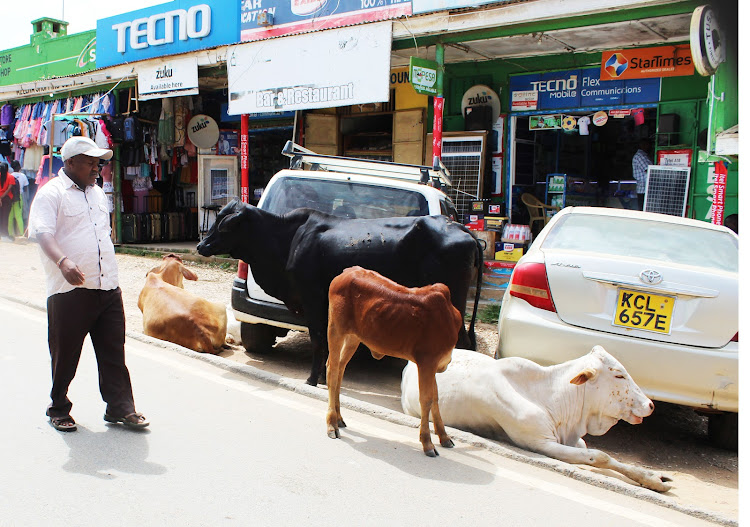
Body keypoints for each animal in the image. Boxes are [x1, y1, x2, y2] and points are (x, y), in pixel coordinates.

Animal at [197, 200, 484, 386]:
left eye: (224, 225)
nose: (200, 245)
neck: (287, 239)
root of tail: (458, 227)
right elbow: (326, 340)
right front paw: (325, 376)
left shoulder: (313, 299)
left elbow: (317, 339)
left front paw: (313, 379)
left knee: (461, 345)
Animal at [328, 268, 464, 458]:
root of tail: (347, 271)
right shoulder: (427, 362)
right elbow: (426, 400)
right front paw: (427, 443)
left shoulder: (434, 365)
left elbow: (436, 398)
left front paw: (444, 437)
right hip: (336, 329)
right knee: (332, 371)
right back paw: (331, 424)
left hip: (353, 337)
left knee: (340, 369)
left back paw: (339, 419)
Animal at [402, 344, 672, 492]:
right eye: (618, 375)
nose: (650, 405)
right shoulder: (541, 443)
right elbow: (600, 457)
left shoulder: (575, 440)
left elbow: (611, 459)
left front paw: (654, 479)